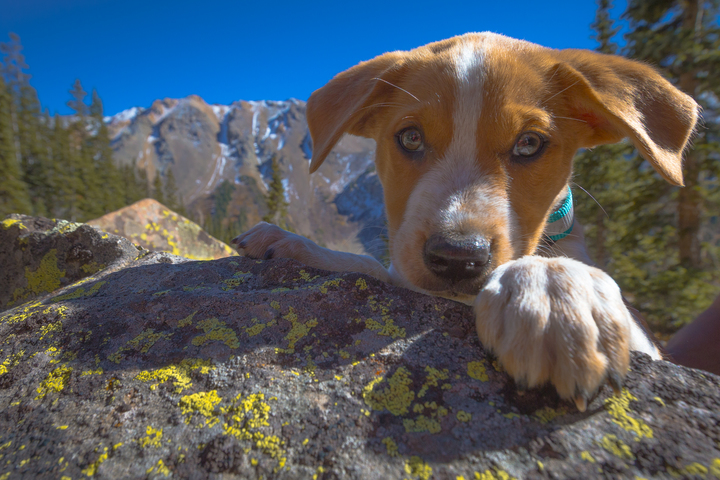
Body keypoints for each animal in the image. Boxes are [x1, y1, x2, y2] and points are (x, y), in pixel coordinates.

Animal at [233, 32, 700, 412]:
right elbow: (372, 266)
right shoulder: (407, 270)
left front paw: (553, 292)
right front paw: (293, 243)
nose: (457, 256)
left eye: (529, 144)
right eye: (411, 138)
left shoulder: (649, 344)